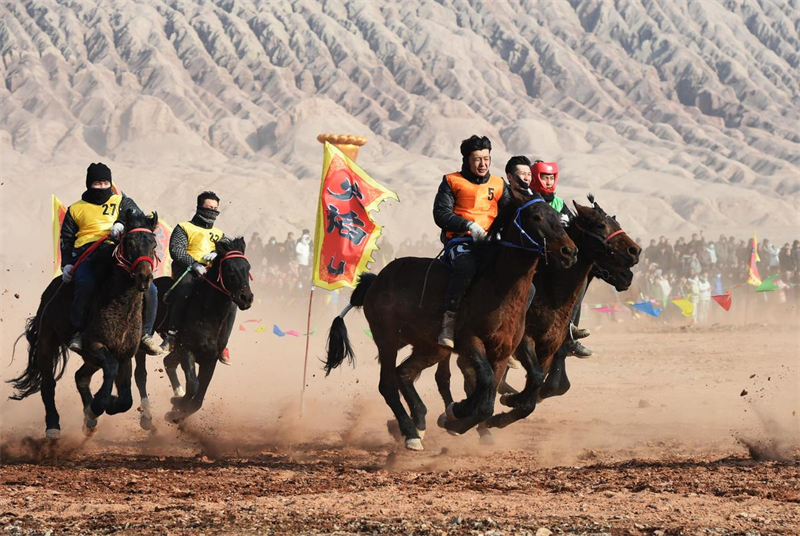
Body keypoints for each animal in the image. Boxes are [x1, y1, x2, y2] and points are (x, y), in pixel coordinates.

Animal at [7, 211, 159, 438]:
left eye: (154, 244)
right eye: (130, 242)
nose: (144, 277)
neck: (119, 304)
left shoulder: (124, 355)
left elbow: (126, 399)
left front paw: (102, 405)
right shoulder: (95, 345)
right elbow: (111, 370)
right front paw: (99, 404)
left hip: (90, 358)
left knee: (81, 376)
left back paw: (89, 419)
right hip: (47, 342)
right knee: (49, 384)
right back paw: (54, 426)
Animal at [324, 186, 576, 450]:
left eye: (559, 218)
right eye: (536, 216)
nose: (569, 251)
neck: (497, 286)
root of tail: (375, 281)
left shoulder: (504, 351)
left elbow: (489, 400)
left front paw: (457, 418)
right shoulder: (470, 342)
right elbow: (484, 381)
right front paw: (457, 411)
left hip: (431, 347)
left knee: (404, 373)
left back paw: (420, 419)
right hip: (387, 339)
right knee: (388, 384)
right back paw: (410, 432)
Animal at [434, 195, 640, 434]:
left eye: (615, 223)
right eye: (600, 225)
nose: (634, 252)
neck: (551, 292)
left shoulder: (551, 347)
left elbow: (546, 387)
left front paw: (506, 409)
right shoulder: (524, 340)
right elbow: (537, 379)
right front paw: (509, 399)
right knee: (451, 373)